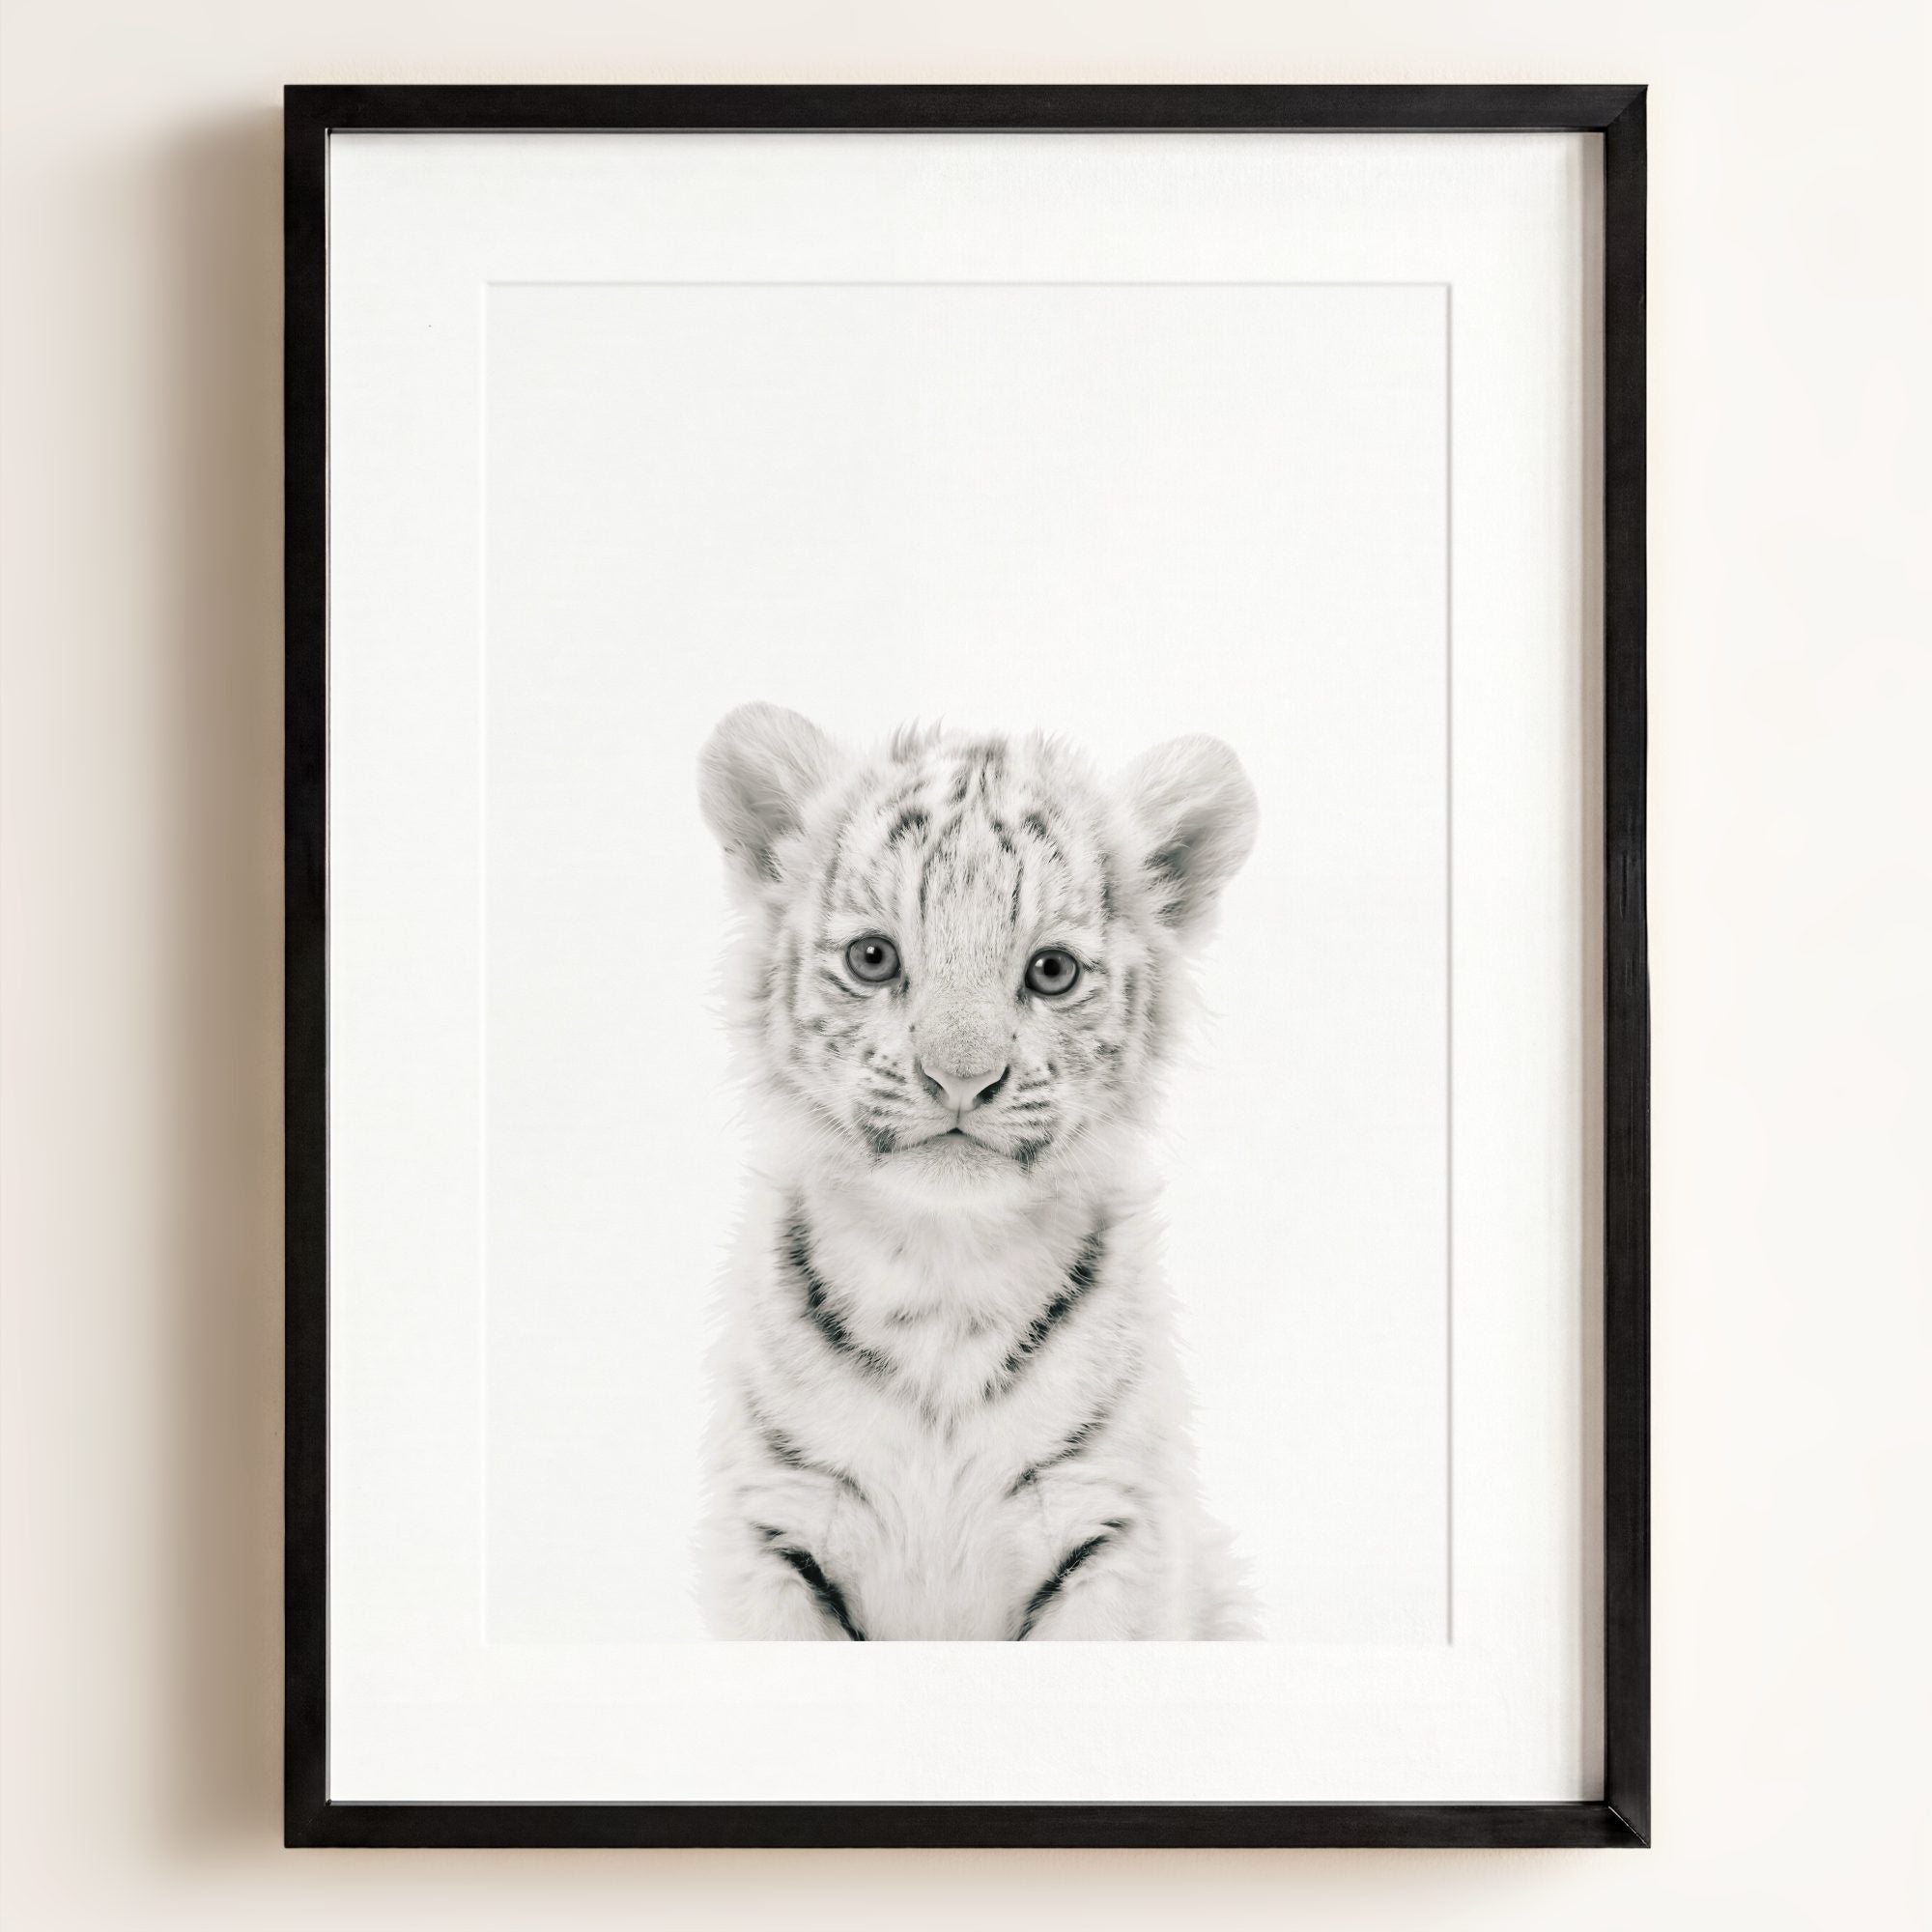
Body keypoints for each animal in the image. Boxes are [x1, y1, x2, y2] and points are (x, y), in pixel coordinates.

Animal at [696, 703, 1261, 1640]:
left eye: (1052, 970)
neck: (943, 1274)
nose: (960, 1077)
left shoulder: (1110, 1527)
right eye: (873, 959)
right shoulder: (776, 1526)